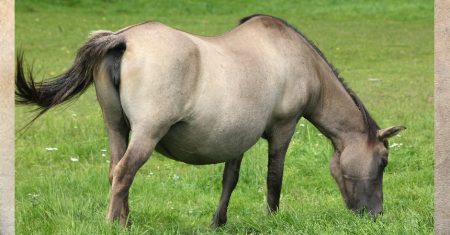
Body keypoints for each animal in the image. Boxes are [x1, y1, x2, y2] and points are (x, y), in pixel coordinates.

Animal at [16, 13, 404, 227]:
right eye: (383, 161)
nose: (376, 214)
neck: (295, 58)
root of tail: (122, 39)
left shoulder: (237, 137)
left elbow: (229, 180)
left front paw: (218, 221)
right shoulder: (284, 128)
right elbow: (274, 178)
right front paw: (273, 219)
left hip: (116, 127)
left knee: (115, 173)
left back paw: (126, 221)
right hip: (146, 133)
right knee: (125, 172)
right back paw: (115, 224)